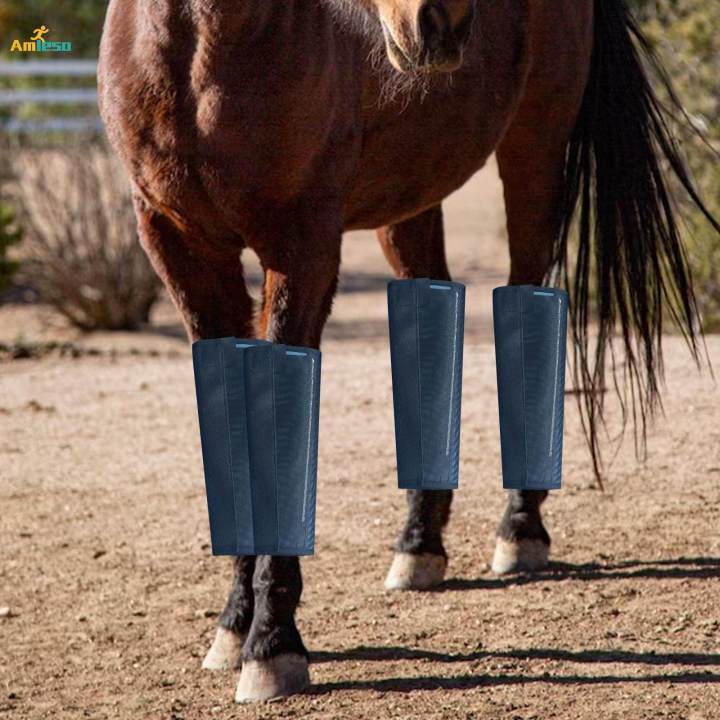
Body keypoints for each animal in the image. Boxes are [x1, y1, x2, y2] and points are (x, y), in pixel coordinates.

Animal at [98, 0, 718, 702]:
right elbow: (231, 431)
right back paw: (419, 545)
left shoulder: (303, 245)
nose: (441, 22)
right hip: (412, 197)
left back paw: (519, 529)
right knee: (431, 324)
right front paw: (234, 625)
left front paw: (272, 645)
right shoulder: (178, 246)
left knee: (530, 308)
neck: (199, 53)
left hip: (534, 153)